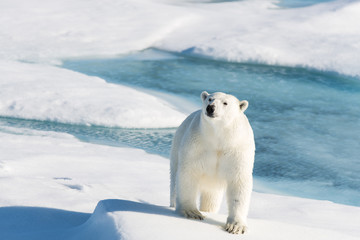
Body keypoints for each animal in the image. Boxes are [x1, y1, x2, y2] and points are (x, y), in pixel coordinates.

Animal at [170, 91, 255, 233]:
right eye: (210, 99)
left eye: (225, 103)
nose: (210, 108)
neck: (219, 138)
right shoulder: (196, 144)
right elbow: (189, 172)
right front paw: (192, 212)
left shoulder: (238, 150)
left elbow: (238, 181)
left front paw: (235, 226)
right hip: (177, 146)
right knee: (174, 183)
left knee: (211, 197)